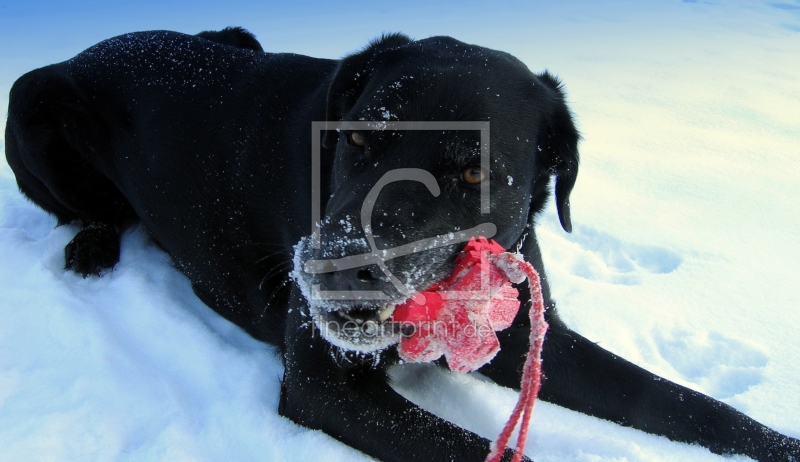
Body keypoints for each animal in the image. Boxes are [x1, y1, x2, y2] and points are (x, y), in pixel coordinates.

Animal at [6, 27, 800, 460]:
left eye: (476, 172)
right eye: (357, 138)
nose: (331, 273)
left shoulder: (530, 337)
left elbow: (686, 405)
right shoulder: (323, 382)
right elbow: (470, 449)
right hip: (31, 102)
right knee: (85, 214)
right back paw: (91, 249)